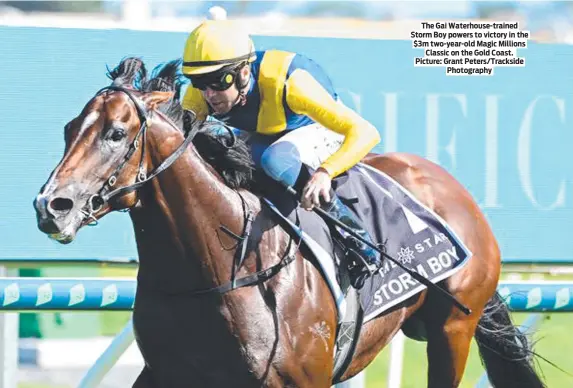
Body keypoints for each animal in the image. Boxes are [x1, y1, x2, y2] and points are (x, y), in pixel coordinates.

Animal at [32, 58, 544, 388]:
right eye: (68, 129)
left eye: (117, 133)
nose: (50, 206)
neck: (217, 268)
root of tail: (455, 190)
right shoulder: (164, 374)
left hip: (452, 330)